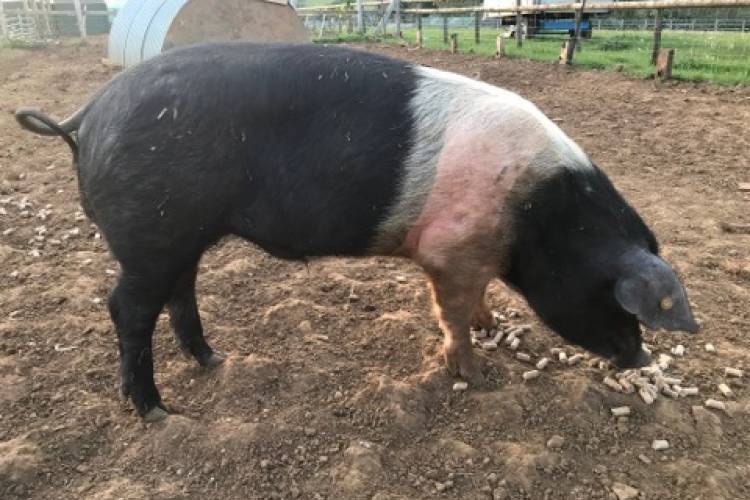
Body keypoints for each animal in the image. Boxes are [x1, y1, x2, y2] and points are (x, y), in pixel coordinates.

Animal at [16, 43, 698, 421]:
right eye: (616, 300)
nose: (640, 356)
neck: (537, 214)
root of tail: (90, 112)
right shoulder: (451, 250)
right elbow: (451, 311)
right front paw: (474, 374)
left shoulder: (469, 255)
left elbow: (475, 302)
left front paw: (491, 327)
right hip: (151, 232)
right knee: (127, 307)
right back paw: (159, 412)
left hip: (183, 233)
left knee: (179, 293)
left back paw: (214, 361)